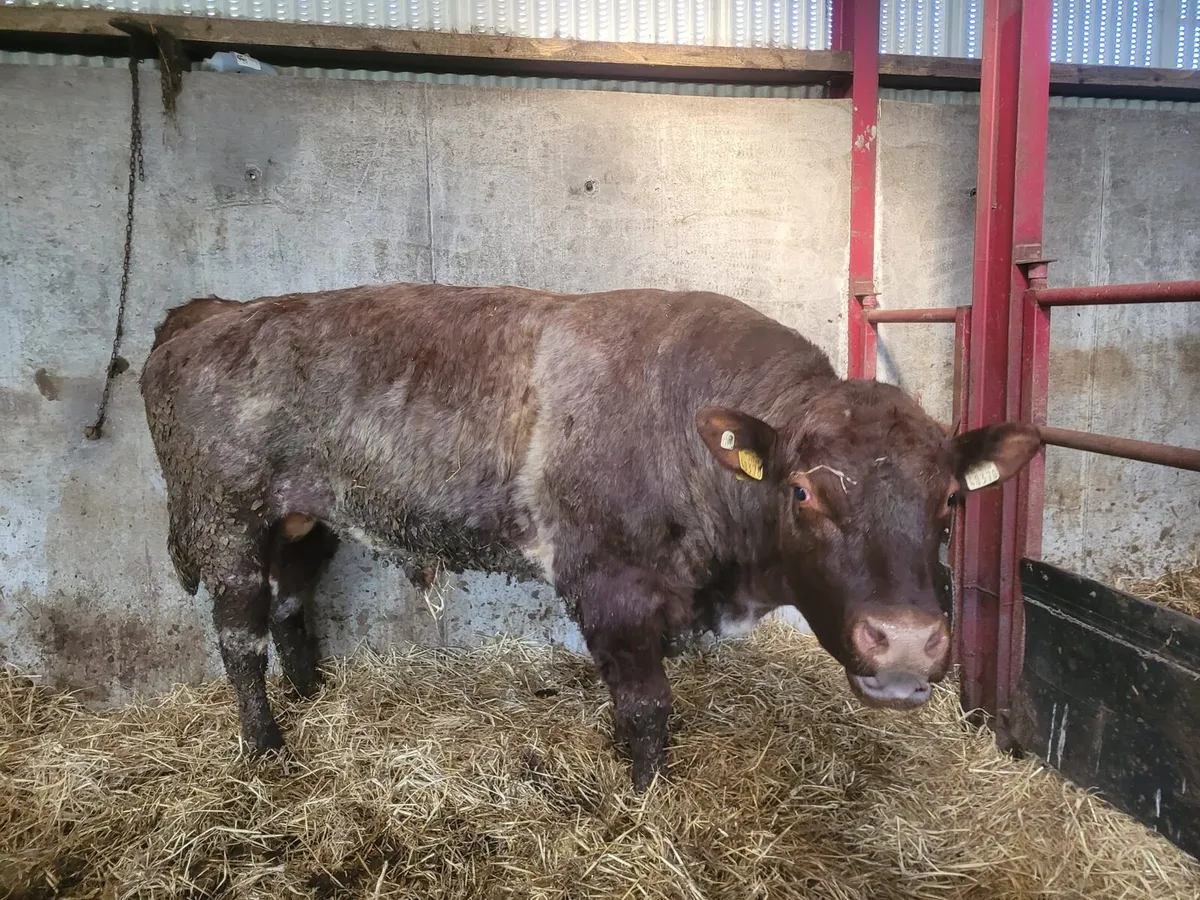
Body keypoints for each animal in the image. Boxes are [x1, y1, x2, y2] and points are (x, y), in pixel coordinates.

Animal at [140, 282, 1041, 790]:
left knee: (292, 604)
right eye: (802, 490)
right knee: (240, 638)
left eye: (951, 499)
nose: (906, 643)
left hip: (306, 518)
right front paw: (645, 794)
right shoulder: (611, 584)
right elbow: (646, 705)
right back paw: (267, 747)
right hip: (227, 521)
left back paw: (313, 696)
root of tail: (204, 316)